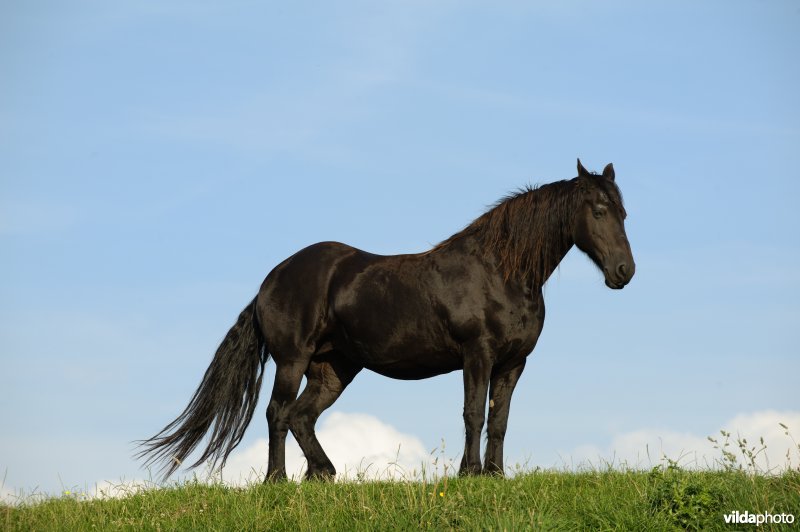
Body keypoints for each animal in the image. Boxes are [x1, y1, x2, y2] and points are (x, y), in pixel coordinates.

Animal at [137, 159, 635, 481]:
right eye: (598, 211)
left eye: (624, 212)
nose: (624, 271)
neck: (500, 272)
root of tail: (270, 281)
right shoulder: (477, 354)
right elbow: (474, 413)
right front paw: (470, 474)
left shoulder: (513, 363)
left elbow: (500, 418)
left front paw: (496, 474)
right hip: (292, 360)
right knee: (278, 412)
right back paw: (276, 481)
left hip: (334, 369)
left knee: (301, 417)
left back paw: (323, 474)